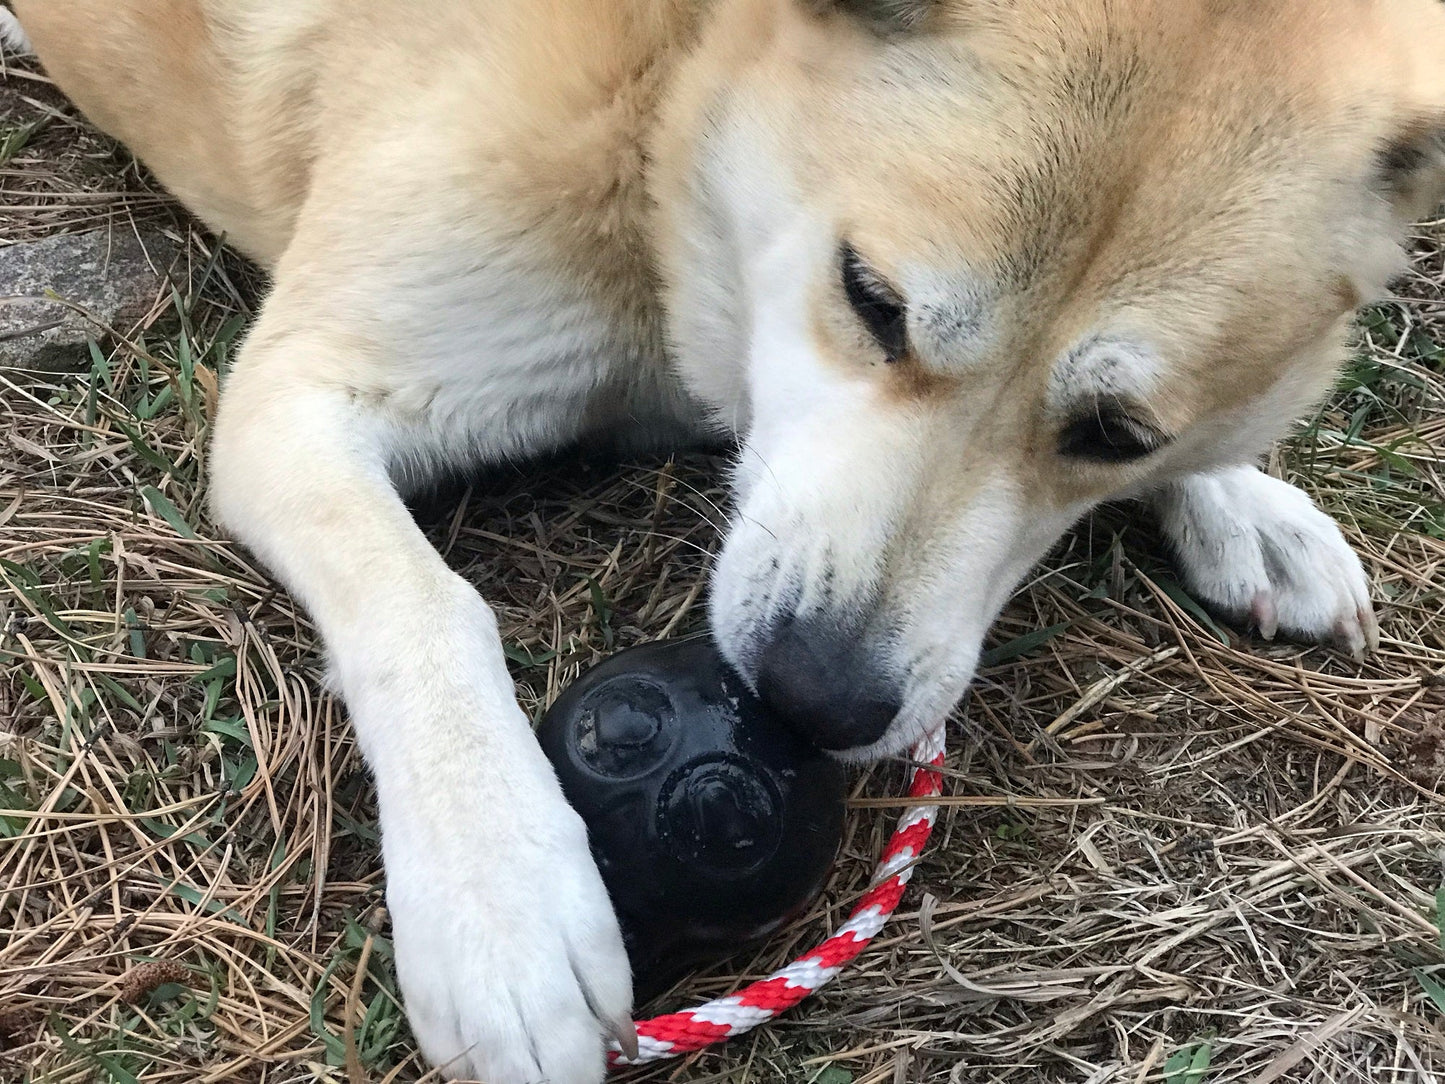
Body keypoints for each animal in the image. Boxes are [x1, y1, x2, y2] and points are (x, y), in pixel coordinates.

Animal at [5, 0, 1439, 1081]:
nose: (812, 699)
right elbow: (422, 606)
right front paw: (501, 906)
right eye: (871, 299)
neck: (670, 105)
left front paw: (1243, 500)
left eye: (1116, 431)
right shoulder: (295, 401)